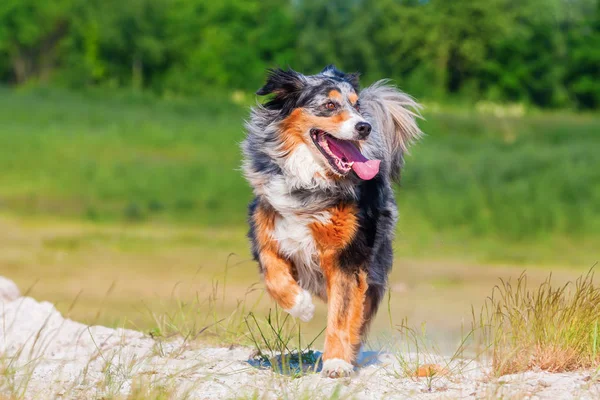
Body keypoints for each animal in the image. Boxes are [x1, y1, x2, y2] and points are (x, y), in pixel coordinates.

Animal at [243, 65, 422, 378]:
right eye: (329, 105)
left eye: (356, 105)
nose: (365, 127)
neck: (310, 183)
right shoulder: (266, 233)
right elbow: (273, 276)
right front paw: (301, 306)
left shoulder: (348, 257)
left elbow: (342, 313)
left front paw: (337, 363)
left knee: (359, 315)